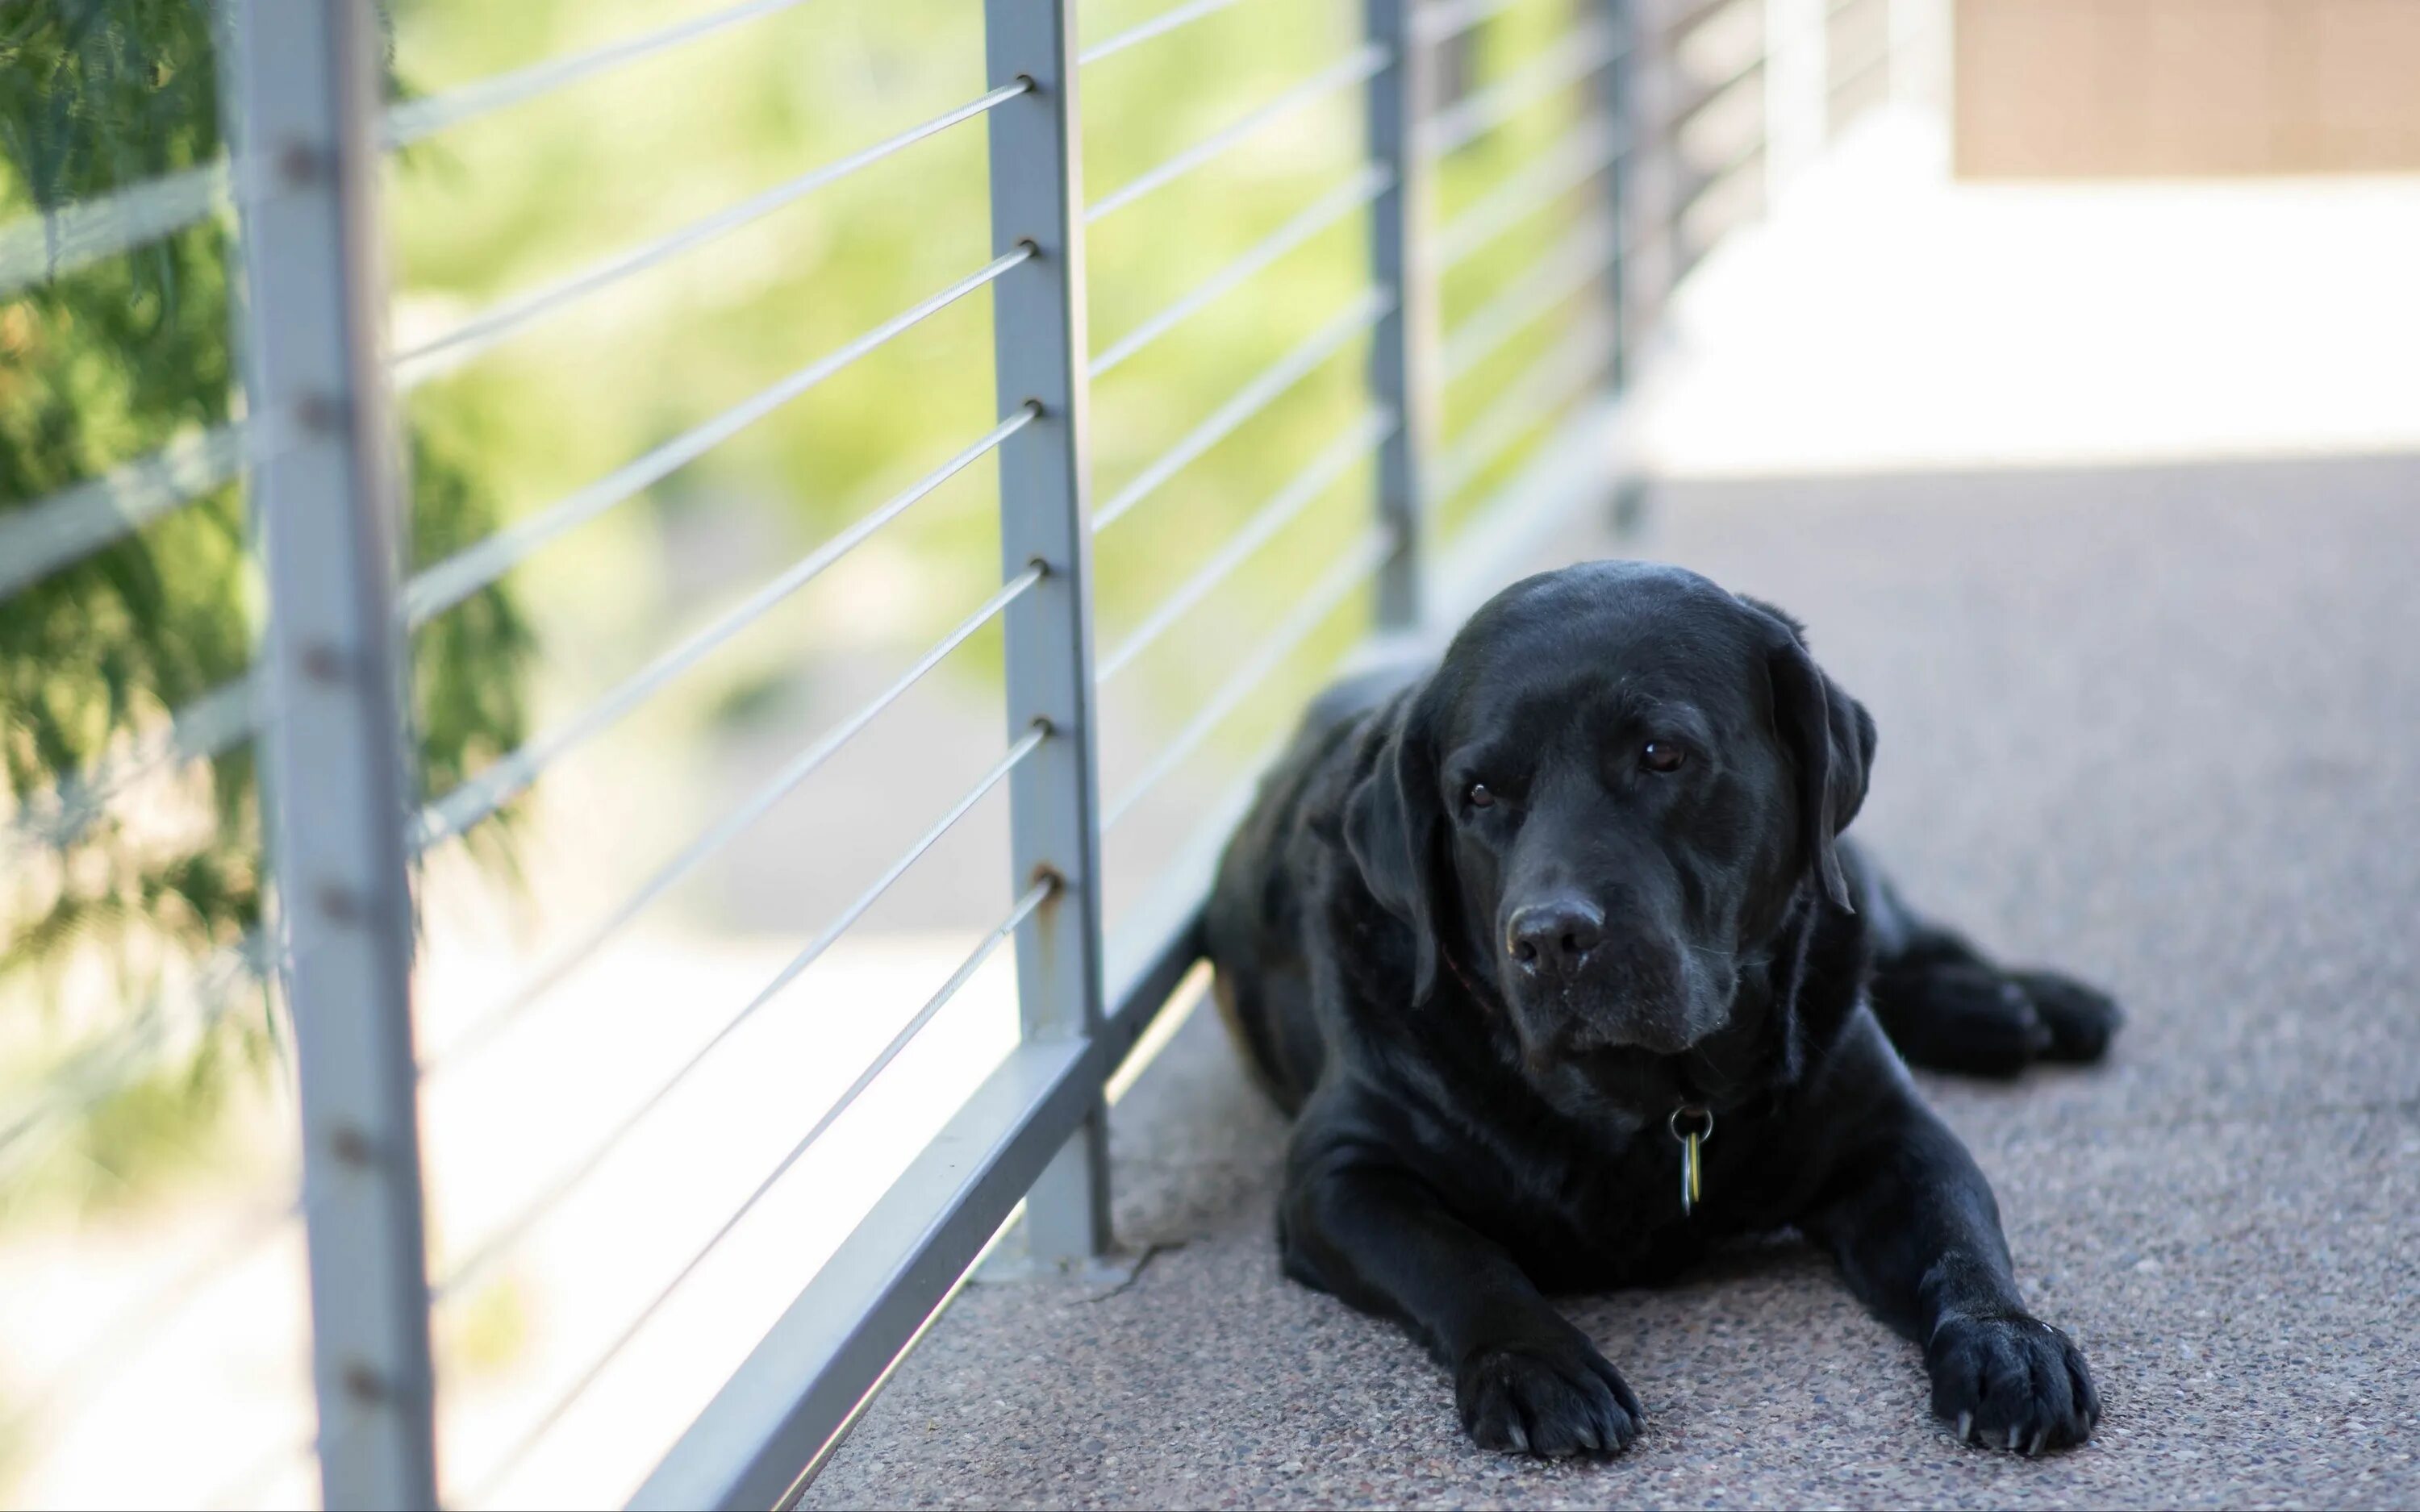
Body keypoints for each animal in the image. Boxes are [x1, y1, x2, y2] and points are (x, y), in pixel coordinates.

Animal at [1210, 561, 2120, 1461]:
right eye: (1478, 794)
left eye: (1662, 754)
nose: (1549, 938)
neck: (1645, 1104)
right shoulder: (1339, 1172)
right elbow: (1459, 1257)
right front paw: (1536, 1365)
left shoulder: (1894, 1135)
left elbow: (1959, 1238)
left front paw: (2008, 1342)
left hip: (1855, 897)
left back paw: (2034, 1005)